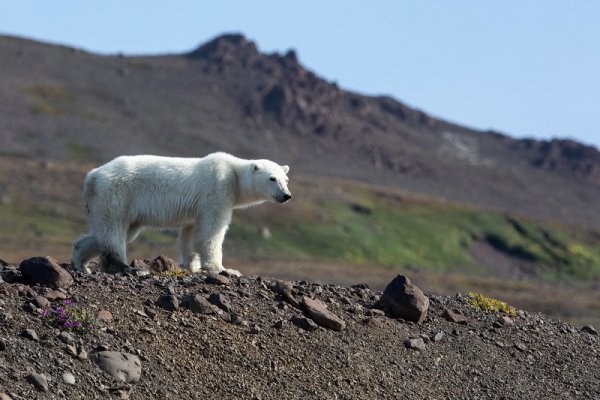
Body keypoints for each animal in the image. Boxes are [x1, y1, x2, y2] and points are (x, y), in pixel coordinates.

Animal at [71, 152, 292, 276]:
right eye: (272, 178)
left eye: (286, 179)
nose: (286, 195)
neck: (235, 175)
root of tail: (92, 176)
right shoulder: (218, 188)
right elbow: (211, 230)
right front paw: (224, 269)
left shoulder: (195, 209)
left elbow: (190, 234)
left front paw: (191, 265)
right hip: (117, 193)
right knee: (113, 230)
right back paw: (126, 266)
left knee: (107, 232)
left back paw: (81, 263)